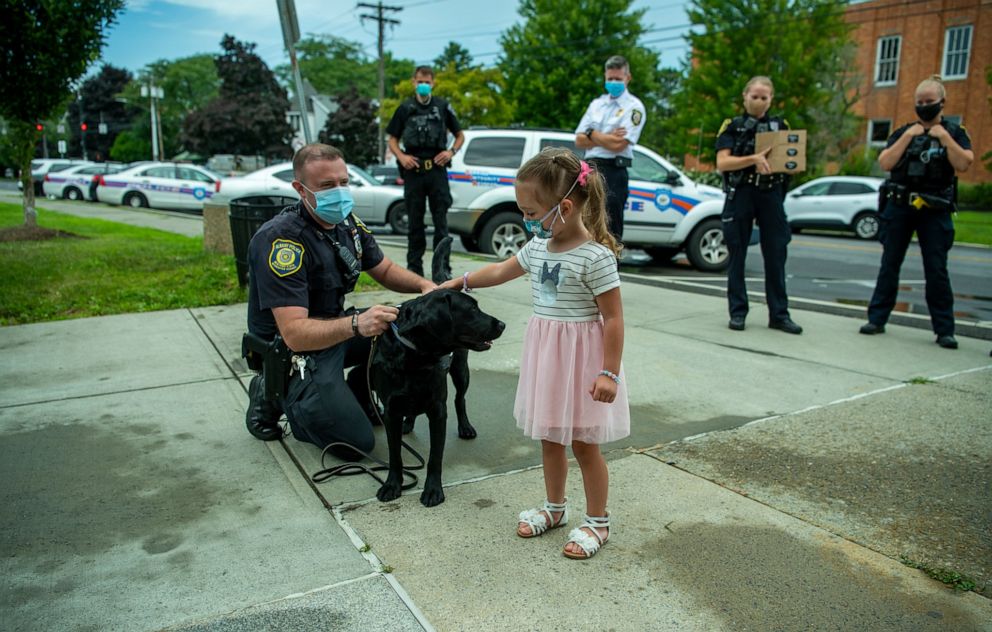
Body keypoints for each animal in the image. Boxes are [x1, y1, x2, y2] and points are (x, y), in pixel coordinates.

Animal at [372, 288, 504, 506]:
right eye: (472, 309)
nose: (502, 324)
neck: (415, 357)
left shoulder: (438, 410)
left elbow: (435, 457)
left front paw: (433, 490)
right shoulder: (390, 412)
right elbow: (394, 454)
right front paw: (392, 485)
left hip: (460, 369)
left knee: (460, 399)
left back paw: (465, 427)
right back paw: (408, 424)